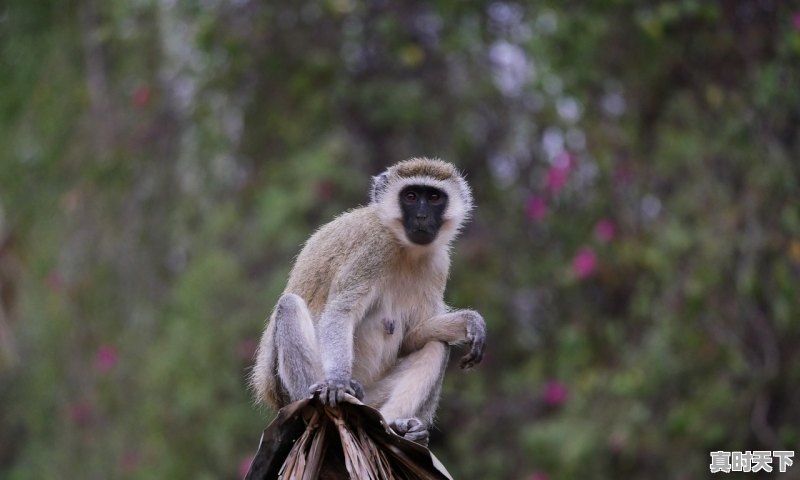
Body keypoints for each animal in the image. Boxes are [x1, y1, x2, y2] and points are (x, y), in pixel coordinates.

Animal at [250, 158, 488, 446]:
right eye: (410, 196)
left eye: (433, 197)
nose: (421, 216)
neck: (403, 247)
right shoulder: (373, 248)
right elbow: (341, 311)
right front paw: (337, 381)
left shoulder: (439, 264)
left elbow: (414, 336)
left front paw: (468, 321)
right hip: (289, 392)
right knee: (289, 307)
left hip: (372, 397)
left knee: (436, 345)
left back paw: (400, 427)